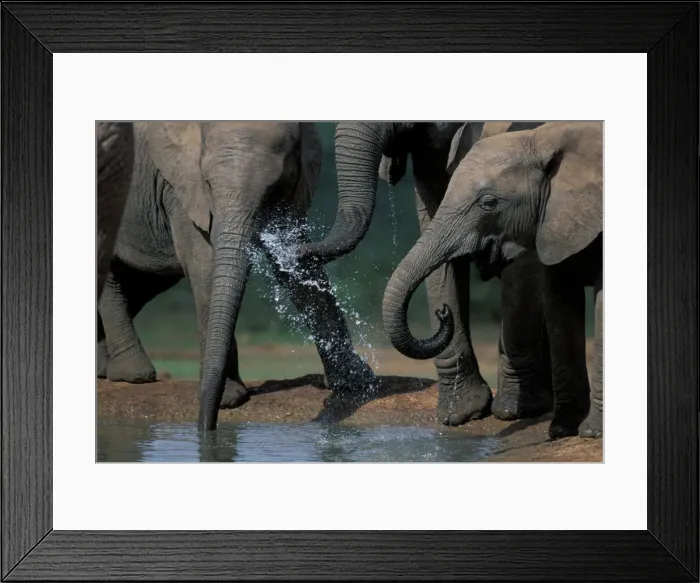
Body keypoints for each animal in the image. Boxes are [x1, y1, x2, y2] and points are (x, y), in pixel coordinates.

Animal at [97, 122, 375, 431]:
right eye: (207, 183)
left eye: (275, 187)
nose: (206, 427)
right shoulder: (179, 187)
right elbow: (205, 267)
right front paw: (229, 399)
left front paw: (356, 382)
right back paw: (133, 375)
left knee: (140, 285)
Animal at [382, 121, 603, 439]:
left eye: (489, 203)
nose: (442, 313)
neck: (541, 141)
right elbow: (558, 299)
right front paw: (562, 430)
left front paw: (591, 433)